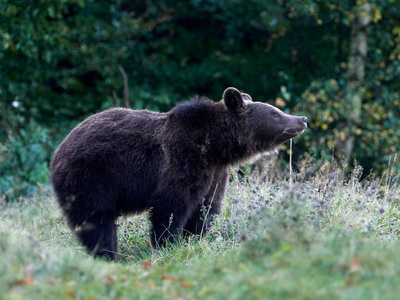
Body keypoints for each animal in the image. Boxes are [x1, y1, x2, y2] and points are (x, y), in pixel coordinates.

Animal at [50, 87, 306, 260]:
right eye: (274, 112)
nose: (301, 118)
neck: (215, 146)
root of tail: (58, 150)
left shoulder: (215, 173)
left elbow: (206, 207)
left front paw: (195, 237)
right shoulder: (182, 161)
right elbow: (172, 206)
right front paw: (167, 244)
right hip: (92, 177)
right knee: (96, 220)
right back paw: (106, 254)